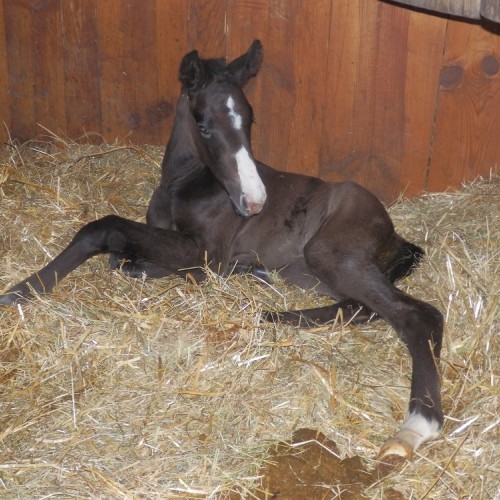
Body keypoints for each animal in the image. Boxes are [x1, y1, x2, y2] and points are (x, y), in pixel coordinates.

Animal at [0, 39, 446, 460]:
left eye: (250, 118)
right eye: (203, 123)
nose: (254, 202)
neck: (185, 184)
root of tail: (393, 233)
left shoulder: (204, 250)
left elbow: (106, 230)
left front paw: (23, 289)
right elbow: (126, 257)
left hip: (328, 253)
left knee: (415, 314)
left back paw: (416, 424)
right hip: (311, 272)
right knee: (358, 307)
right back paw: (269, 310)